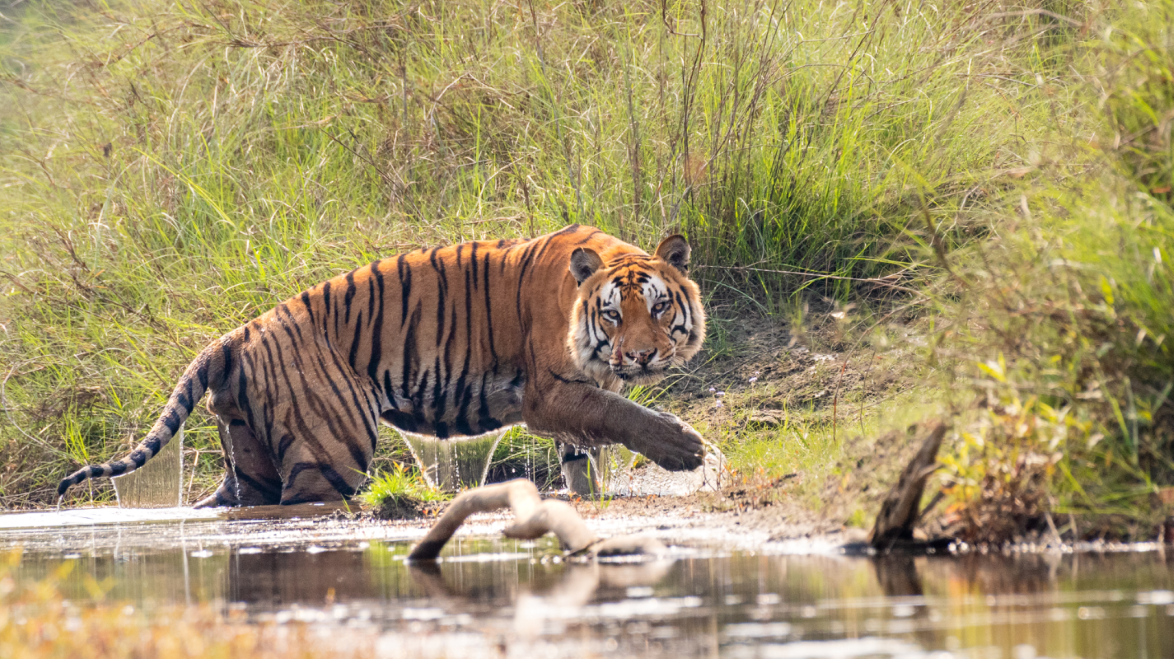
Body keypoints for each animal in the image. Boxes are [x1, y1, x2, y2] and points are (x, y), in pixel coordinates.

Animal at [57, 223, 704, 505]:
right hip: (329, 450)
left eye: (658, 305)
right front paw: (687, 451)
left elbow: (585, 451)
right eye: (613, 314)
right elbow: (619, 415)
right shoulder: (550, 394)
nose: (640, 354)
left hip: (250, 458)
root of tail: (237, 334)